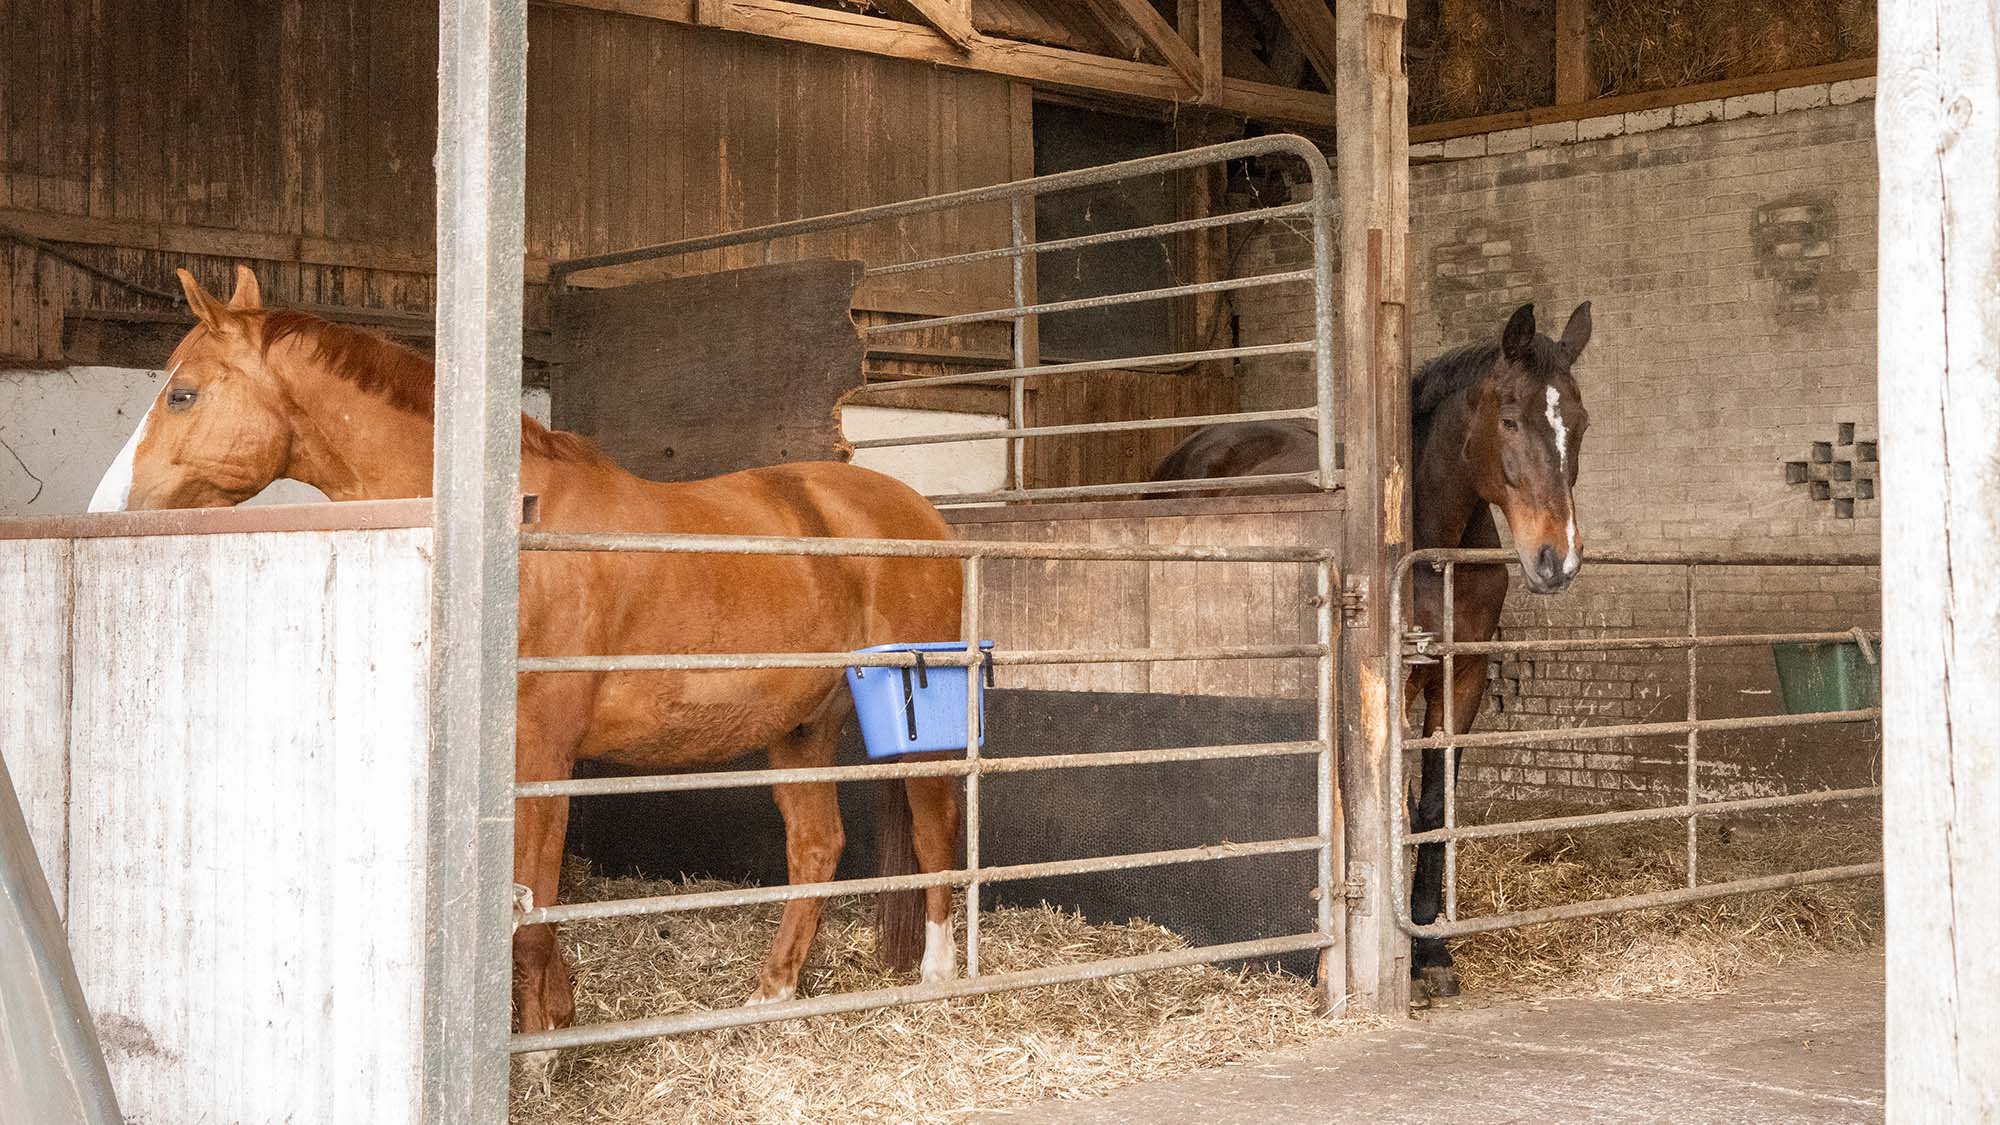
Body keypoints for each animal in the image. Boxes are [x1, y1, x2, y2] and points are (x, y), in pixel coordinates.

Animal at [89, 265, 969, 1070]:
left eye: (182, 395)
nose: (102, 513)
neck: (509, 535)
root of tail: (919, 513)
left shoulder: (544, 753)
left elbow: (534, 897)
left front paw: (543, 1044)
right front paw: (553, 1013)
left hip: (914, 723)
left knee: (935, 829)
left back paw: (936, 976)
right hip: (801, 726)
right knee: (816, 847)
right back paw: (772, 993)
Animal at [1150, 300, 1593, 999]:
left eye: (1580, 423)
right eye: (1510, 419)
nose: (1558, 559)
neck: (1430, 546)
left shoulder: (1459, 678)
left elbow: (1435, 806)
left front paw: (1433, 949)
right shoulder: (1393, 683)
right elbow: (1394, 808)